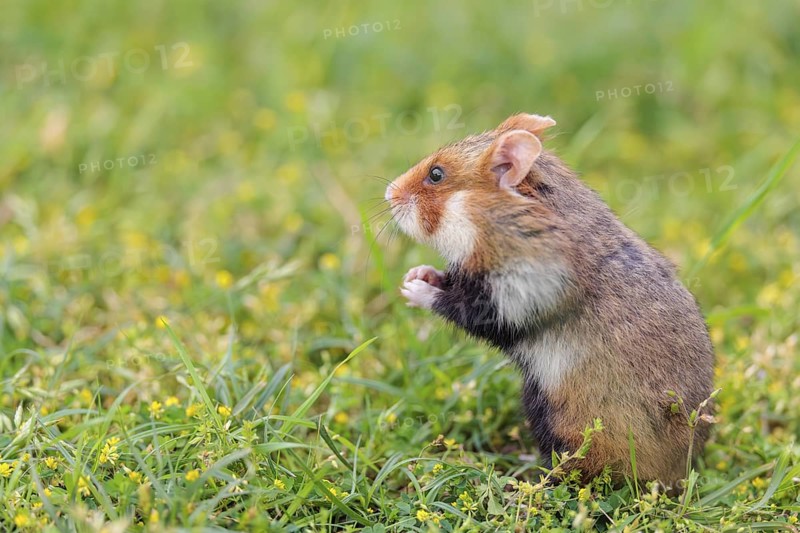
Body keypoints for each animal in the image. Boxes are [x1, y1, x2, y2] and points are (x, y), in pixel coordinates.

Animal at [385, 113, 715, 485]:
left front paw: (412, 290)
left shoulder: (520, 294)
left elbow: (463, 306)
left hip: (551, 411)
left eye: (436, 174)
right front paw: (416, 273)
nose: (388, 193)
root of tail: (679, 474)